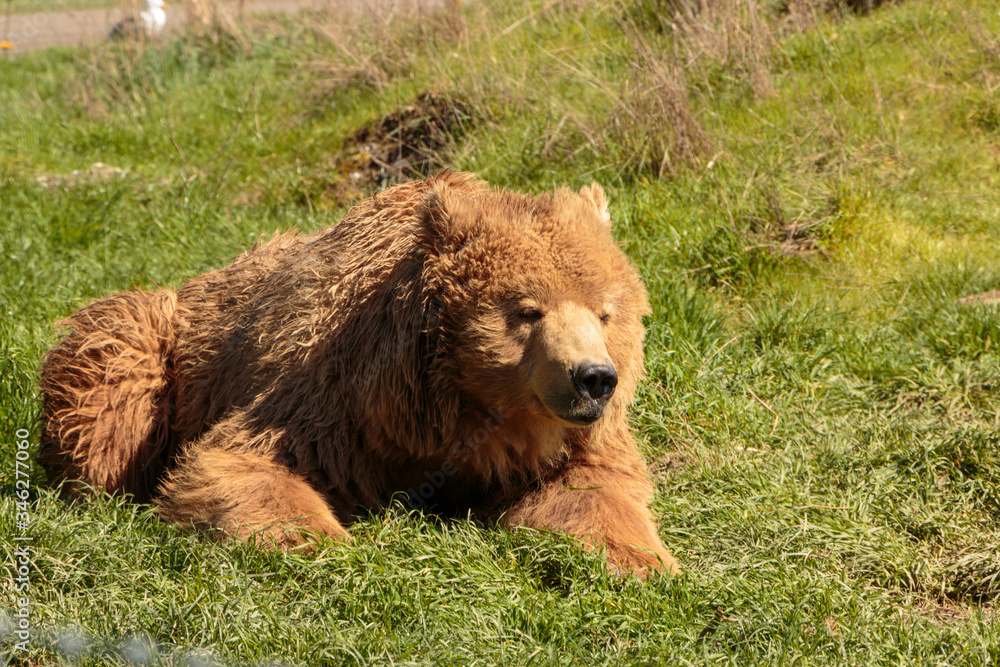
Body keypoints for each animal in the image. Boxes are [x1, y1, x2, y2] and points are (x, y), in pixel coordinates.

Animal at [39, 171, 678, 576]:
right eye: (528, 310)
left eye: (605, 311)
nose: (593, 378)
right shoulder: (336, 401)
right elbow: (246, 461)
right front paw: (313, 539)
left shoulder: (563, 438)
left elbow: (591, 487)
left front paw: (642, 561)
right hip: (162, 346)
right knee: (112, 384)